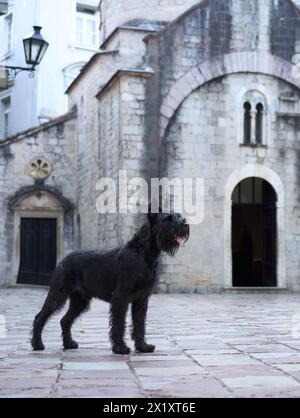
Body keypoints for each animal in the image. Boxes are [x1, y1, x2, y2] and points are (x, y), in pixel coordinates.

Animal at [31, 207, 190, 354]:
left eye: (179, 216)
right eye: (168, 219)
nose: (185, 225)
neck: (143, 252)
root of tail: (63, 260)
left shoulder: (142, 299)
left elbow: (139, 323)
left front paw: (143, 347)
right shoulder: (121, 296)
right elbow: (119, 323)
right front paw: (120, 348)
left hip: (80, 301)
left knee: (65, 320)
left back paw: (69, 344)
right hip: (58, 295)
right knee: (40, 317)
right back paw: (37, 344)